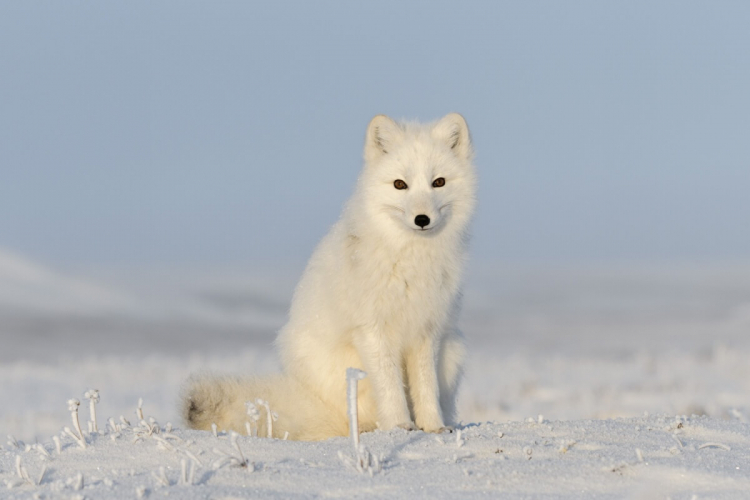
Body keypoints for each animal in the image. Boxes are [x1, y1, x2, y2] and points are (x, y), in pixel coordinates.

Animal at [182, 113, 477, 441]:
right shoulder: (372, 331)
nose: (422, 219)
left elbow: (426, 387)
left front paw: (433, 427)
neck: (411, 259)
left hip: (454, 350)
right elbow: (390, 388)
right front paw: (400, 427)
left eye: (438, 182)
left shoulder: (427, 331)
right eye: (400, 184)